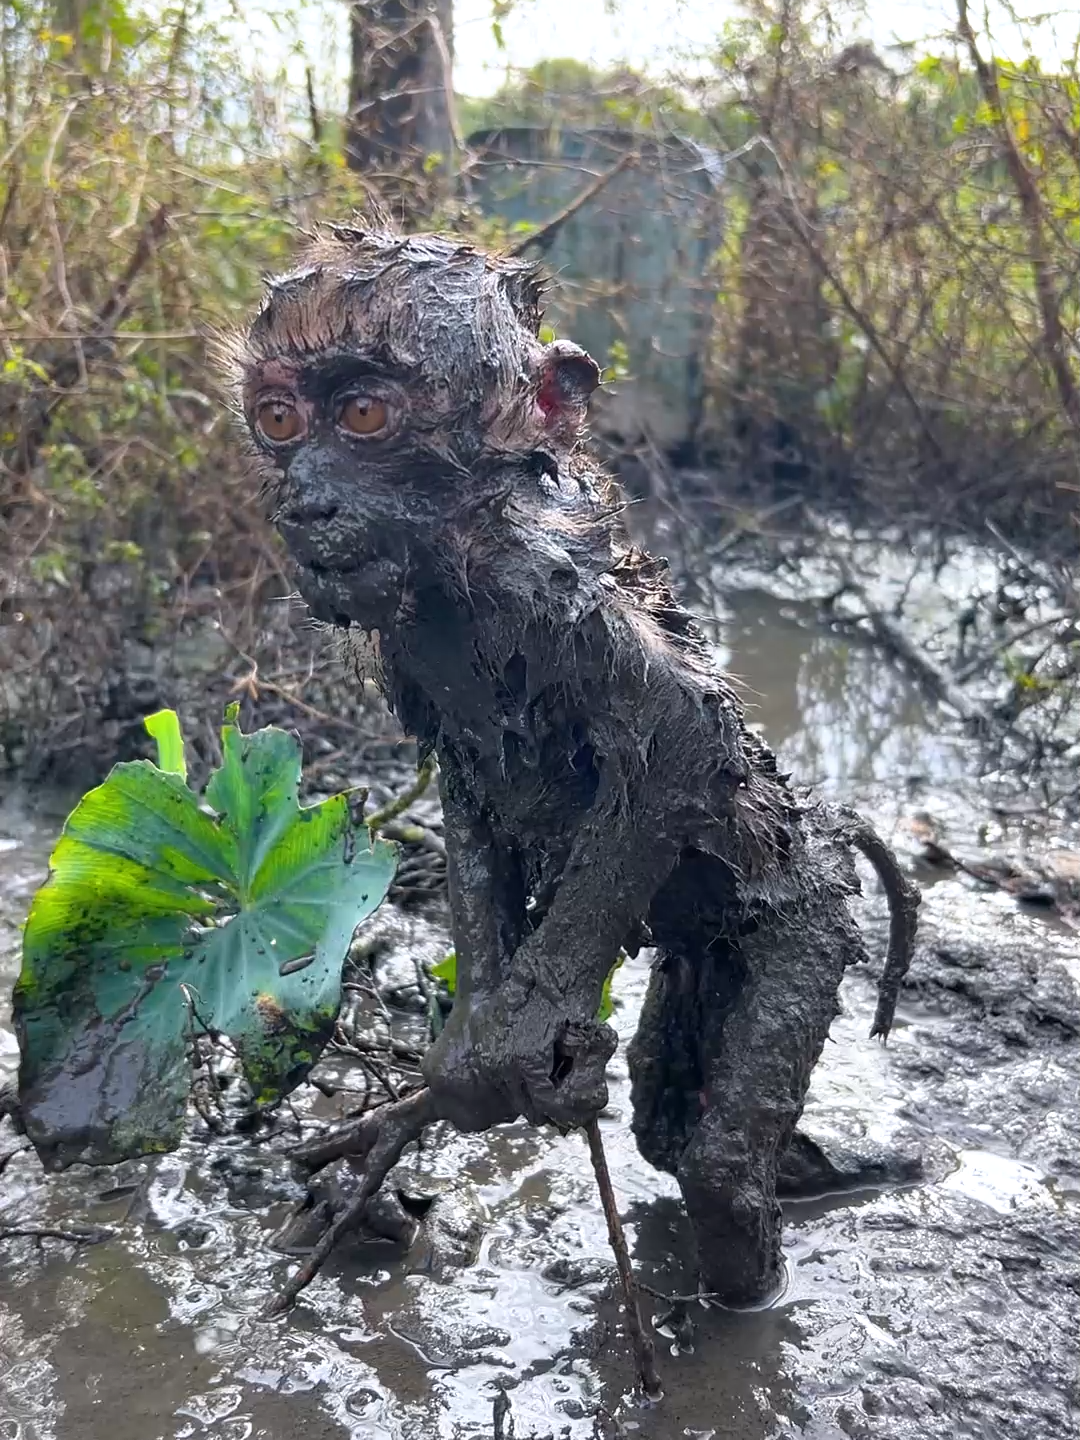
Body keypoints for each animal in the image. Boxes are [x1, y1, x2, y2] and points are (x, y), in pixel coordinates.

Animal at [223, 222, 919, 1305]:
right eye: (279, 419)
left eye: (367, 414)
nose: (303, 503)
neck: (452, 572)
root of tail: (819, 830)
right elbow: (470, 803)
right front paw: (469, 1050)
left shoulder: (544, 582)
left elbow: (681, 741)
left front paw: (524, 1028)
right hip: (700, 960)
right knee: (666, 1111)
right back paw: (797, 1176)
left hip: (804, 919)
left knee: (719, 1166)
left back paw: (753, 1268)